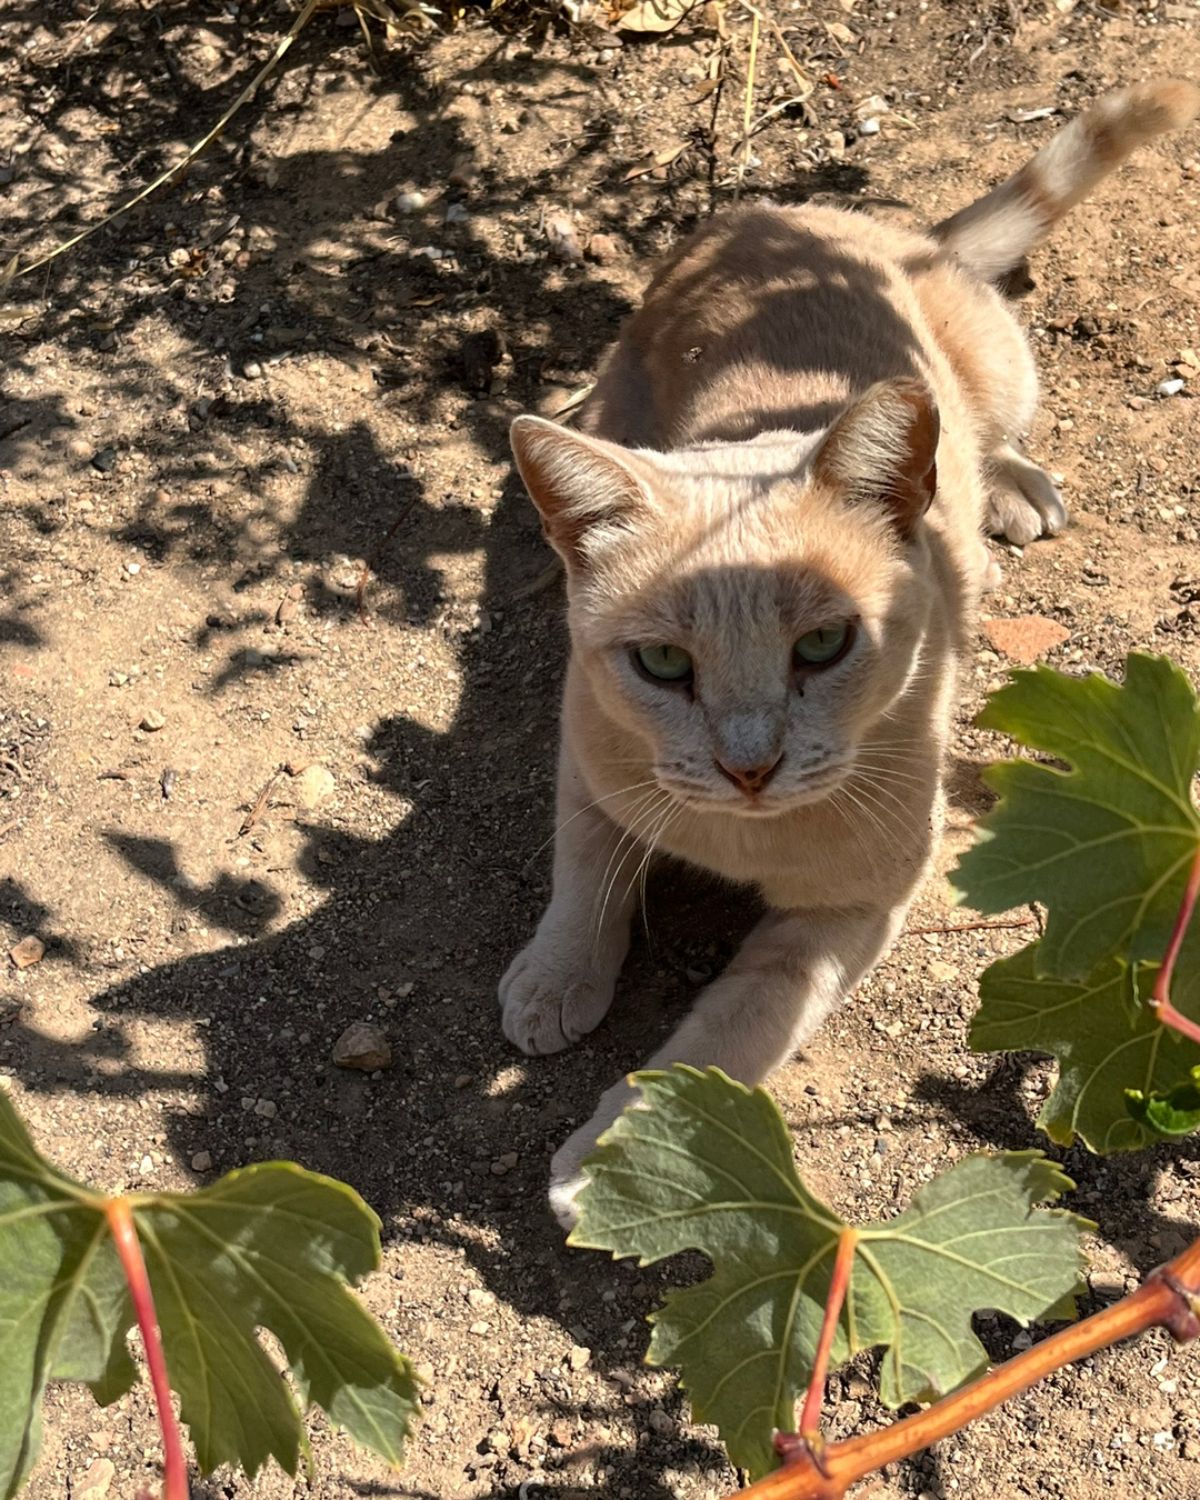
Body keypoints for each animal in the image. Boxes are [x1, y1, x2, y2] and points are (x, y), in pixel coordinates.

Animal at [500, 80, 1200, 1227]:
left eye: (824, 645)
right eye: (662, 666)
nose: (748, 765)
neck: (739, 839)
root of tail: (795, 215)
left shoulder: (850, 913)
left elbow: (738, 1022)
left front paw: (619, 1155)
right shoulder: (586, 750)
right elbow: (585, 870)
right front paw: (557, 980)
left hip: (1003, 367)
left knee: (991, 435)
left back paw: (1011, 491)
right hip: (609, 390)